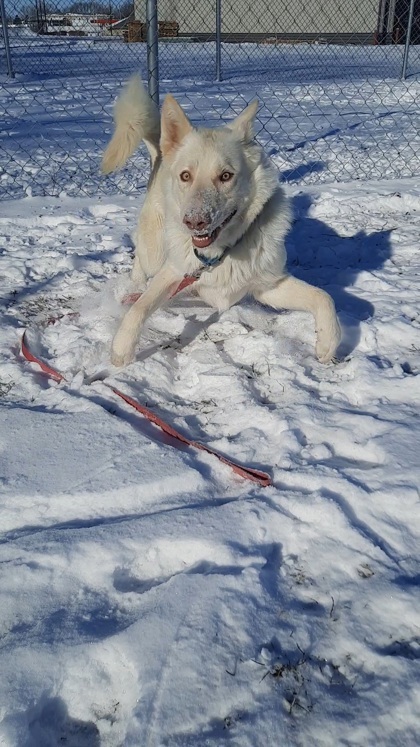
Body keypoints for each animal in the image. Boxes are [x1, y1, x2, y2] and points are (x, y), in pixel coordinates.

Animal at [102, 76, 342, 368]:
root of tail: (160, 153)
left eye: (226, 175)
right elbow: (139, 307)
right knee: (140, 262)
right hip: (154, 252)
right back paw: (134, 285)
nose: (195, 222)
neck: (219, 254)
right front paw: (121, 350)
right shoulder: (173, 271)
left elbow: (324, 297)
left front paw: (328, 343)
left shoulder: (269, 286)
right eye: (185, 176)